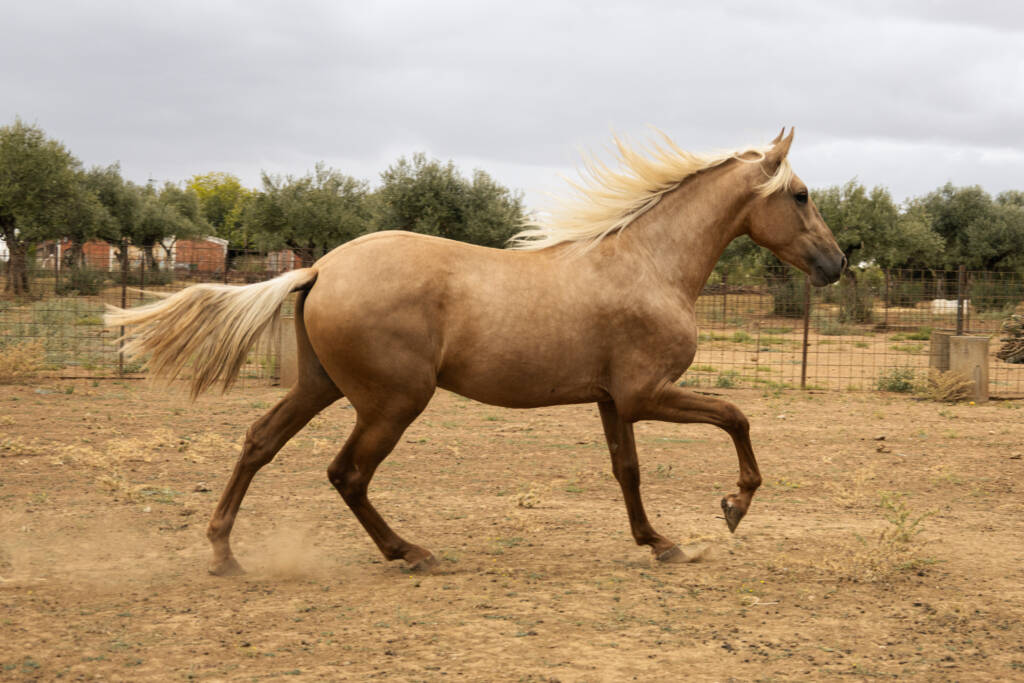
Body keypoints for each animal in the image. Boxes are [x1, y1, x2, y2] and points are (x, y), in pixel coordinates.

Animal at [106, 129, 845, 575]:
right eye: (801, 195)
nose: (836, 263)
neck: (648, 265)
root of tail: (319, 269)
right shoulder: (647, 394)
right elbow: (736, 417)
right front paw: (733, 507)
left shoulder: (614, 401)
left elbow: (626, 471)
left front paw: (661, 543)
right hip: (394, 401)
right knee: (347, 473)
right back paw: (411, 552)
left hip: (324, 387)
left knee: (260, 442)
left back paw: (224, 552)